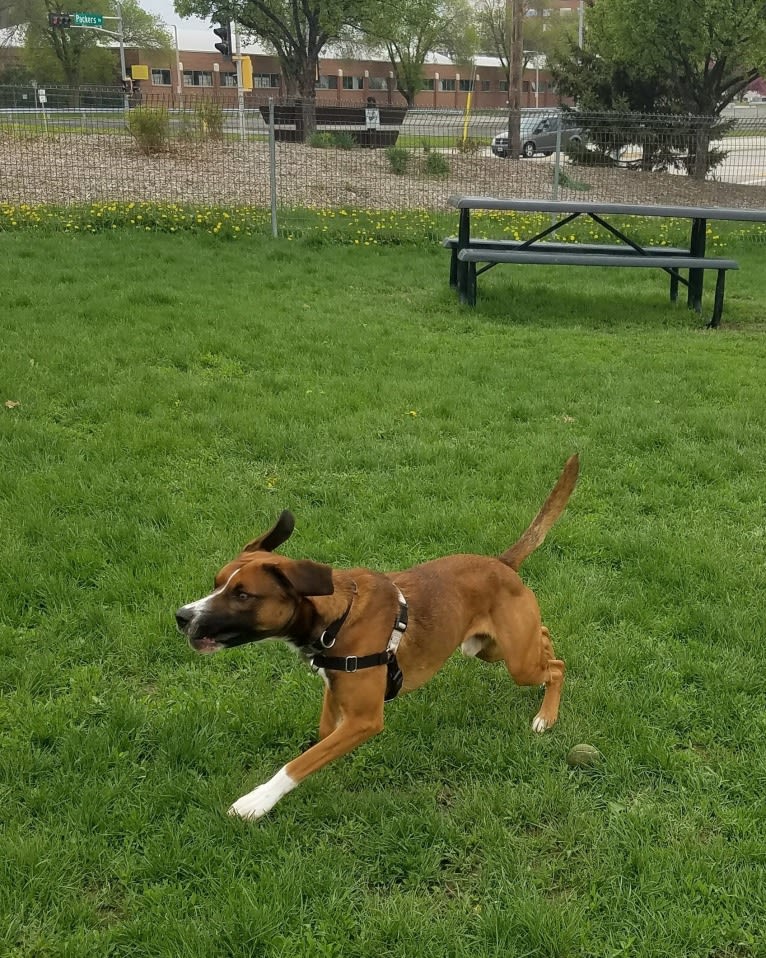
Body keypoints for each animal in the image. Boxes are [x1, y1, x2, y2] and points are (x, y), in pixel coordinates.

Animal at [176, 454, 584, 820]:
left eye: (243, 595)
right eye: (216, 583)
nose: (182, 616)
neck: (338, 619)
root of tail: (501, 564)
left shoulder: (364, 719)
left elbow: (299, 763)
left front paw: (256, 802)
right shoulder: (335, 697)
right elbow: (319, 742)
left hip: (516, 662)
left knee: (557, 666)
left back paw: (546, 716)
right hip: (487, 649)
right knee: (544, 638)